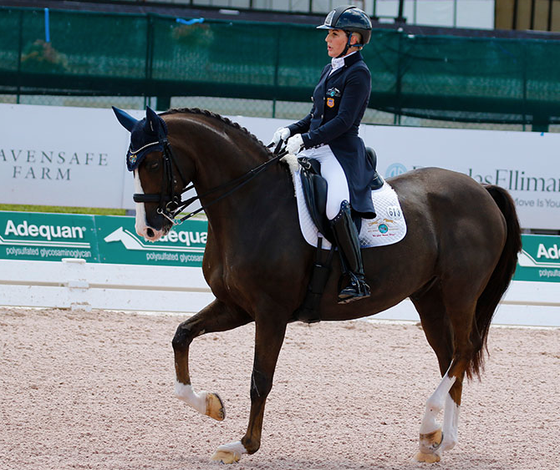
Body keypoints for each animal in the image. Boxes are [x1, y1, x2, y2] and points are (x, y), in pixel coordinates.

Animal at [112, 105, 520, 462]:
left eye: (151, 162)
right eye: (131, 163)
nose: (149, 229)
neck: (252, 202)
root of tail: (482, 190)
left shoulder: (271, 312)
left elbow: (260, 379)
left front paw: (242, 445)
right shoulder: (236, 306)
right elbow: (181, 336)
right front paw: (211, 405)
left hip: (461, 291)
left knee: (463, 351)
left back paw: (428, 429)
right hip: (430, 297)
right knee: (449, 357)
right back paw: (438, 442)